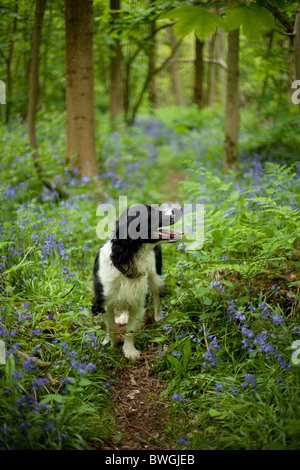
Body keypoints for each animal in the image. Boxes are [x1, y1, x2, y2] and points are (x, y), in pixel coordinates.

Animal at [91, 204, 182, 362]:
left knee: (157, 295)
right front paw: (110, 345)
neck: (127, 260)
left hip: (155, 276)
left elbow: (130, 331)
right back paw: (123, 317)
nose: (179, 208)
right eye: (152, 213)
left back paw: (158, 316)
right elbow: (111, 328)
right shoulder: (104, 302)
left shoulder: (140, 302)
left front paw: (129, 351)